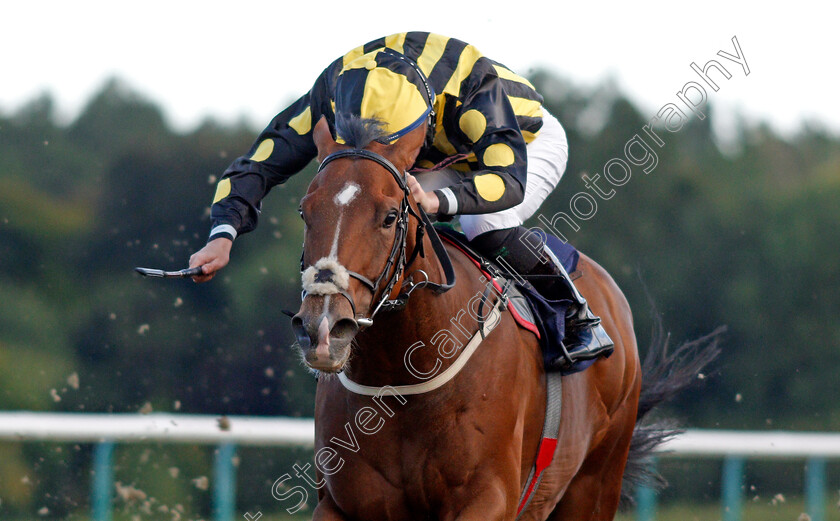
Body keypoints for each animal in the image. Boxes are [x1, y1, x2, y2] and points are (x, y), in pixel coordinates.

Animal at [288, 115, 708, 520]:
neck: (404, 376)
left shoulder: (489, 496)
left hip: (595, 483)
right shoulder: (341, 504)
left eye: (390, 216)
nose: (322, 328)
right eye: (305, 212)